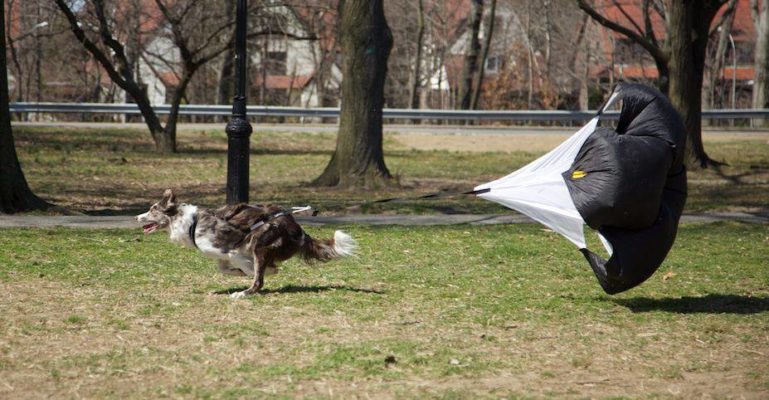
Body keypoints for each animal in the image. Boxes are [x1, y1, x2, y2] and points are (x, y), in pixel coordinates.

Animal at [135, 190, 356, 296]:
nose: (137, 217)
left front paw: (255, 271)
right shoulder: (219, 254)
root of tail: (299, 230)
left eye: (153, 209)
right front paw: (238, 273)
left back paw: (244, 293)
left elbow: (247, 266)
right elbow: (223, 268)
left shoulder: (231, 247)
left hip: (260, 241)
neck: (190, 223)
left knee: (258, 281)